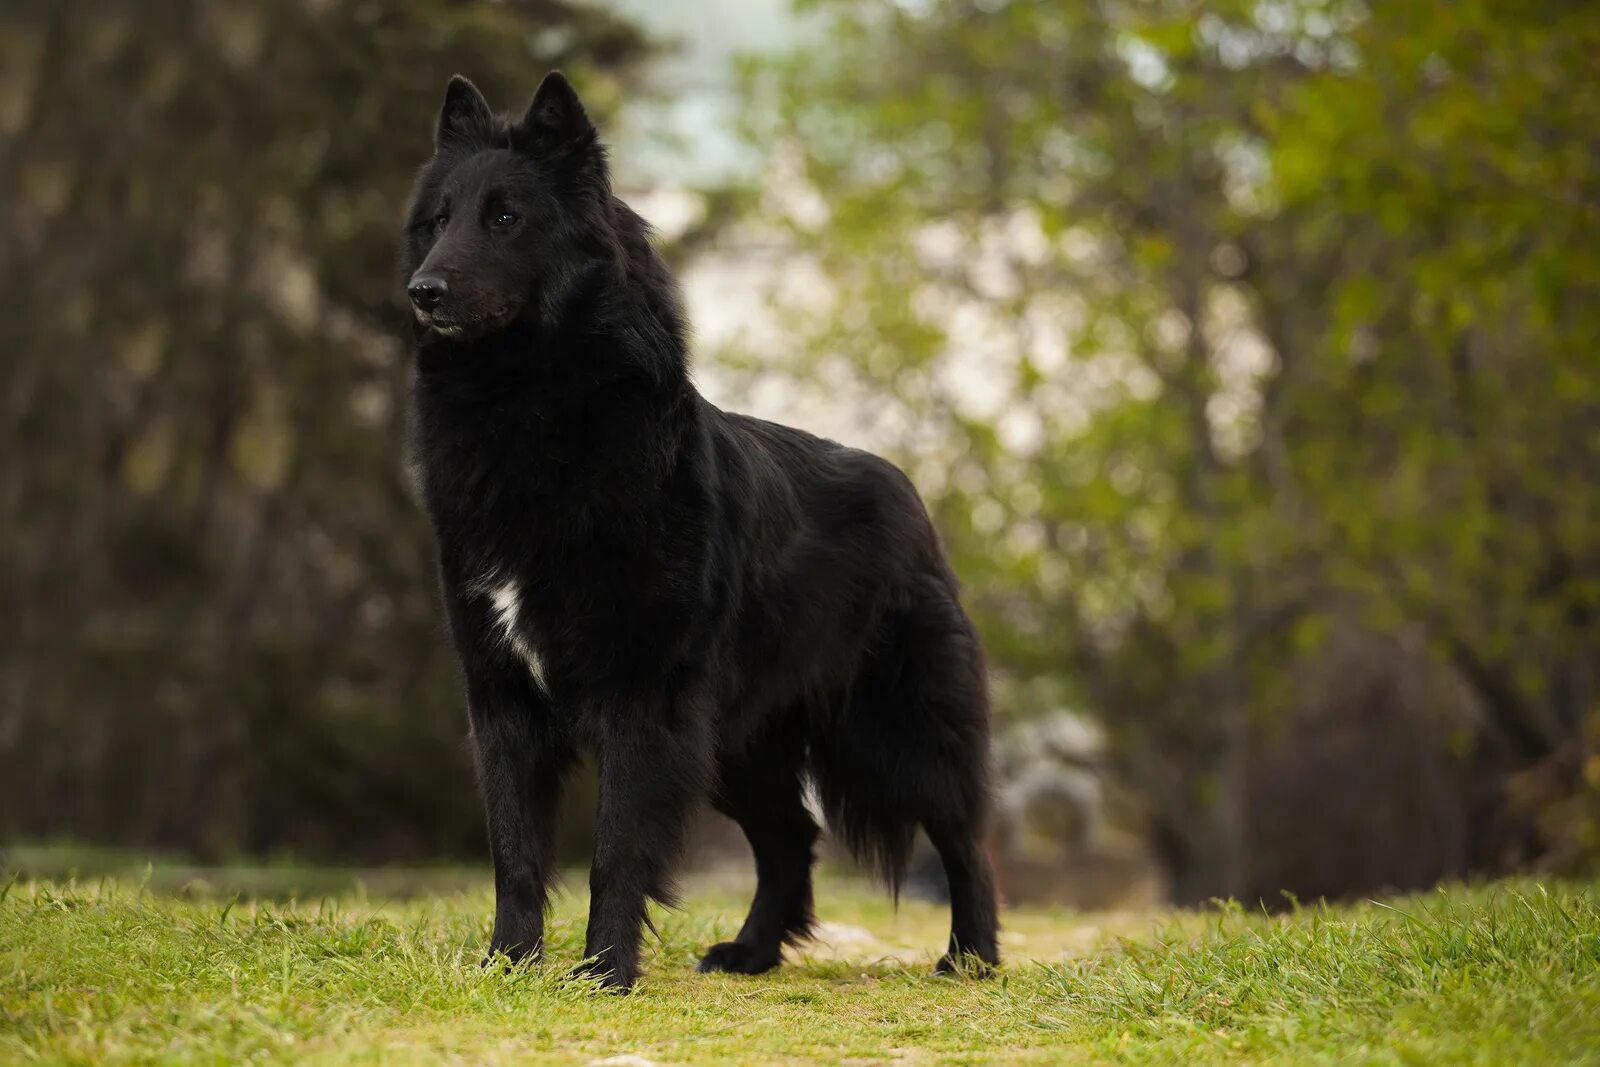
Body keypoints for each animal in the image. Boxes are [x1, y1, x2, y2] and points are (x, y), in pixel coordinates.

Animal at [403, 70, 998, 991]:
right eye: (438, 221)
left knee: (963, 837)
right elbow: (515, 850)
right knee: (792, 836)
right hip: (736, 745)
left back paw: (972, 955)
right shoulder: (502, 697)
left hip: (892, 733)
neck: (532, 412)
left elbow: (615, 850)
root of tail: (903, 486)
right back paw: (752, 952)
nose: (422, 292)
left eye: (504, 218)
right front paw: (508, 964)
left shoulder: (641, 702)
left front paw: (605, 972)